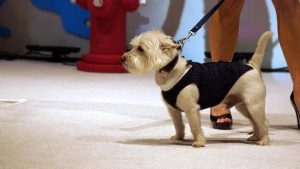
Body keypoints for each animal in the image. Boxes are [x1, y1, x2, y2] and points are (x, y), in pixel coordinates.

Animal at [120, 30, 274, 148]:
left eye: (141, 49)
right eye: (133, 46)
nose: (122, 59)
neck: (171, 70)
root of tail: (251, 66)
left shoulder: (191, 109)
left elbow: (195, 127)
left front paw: (199, 142)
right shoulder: (173, 110)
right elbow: (179, 125)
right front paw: (179, 137)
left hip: (254, 105)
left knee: (264, 122)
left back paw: (264, 140)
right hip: (244, 106)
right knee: (255, 122)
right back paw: (255, 137)